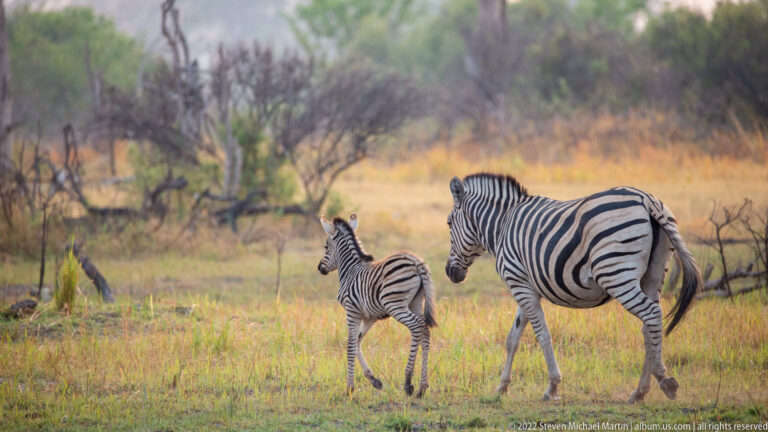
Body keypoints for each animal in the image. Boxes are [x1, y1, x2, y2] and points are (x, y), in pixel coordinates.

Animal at [317, 213, 437, 397]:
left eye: (325, 246)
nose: (320, 268)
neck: (350, 270)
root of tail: (415, 261)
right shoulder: (369, 317)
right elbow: (357, 341)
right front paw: (374, 380)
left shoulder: (351, 311)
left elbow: (350, 345)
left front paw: (349, 388)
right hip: (416, 302)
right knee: (425, 331)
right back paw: (422, 388)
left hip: (395, 305)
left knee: (417, 327)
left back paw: (408, 382)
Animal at [444, 173, 701, 403]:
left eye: (448, 224)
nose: (449, 273)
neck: (502, 225)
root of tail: (647, 200)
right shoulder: (525, 285)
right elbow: (513, 338)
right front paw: (502, 387)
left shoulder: (519, 283)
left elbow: (542, 334)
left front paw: (552, 387)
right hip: (654, 275)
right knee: (649, 325)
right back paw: (639, 391)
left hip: (616, 272)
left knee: (651, 314)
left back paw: (664, 380)